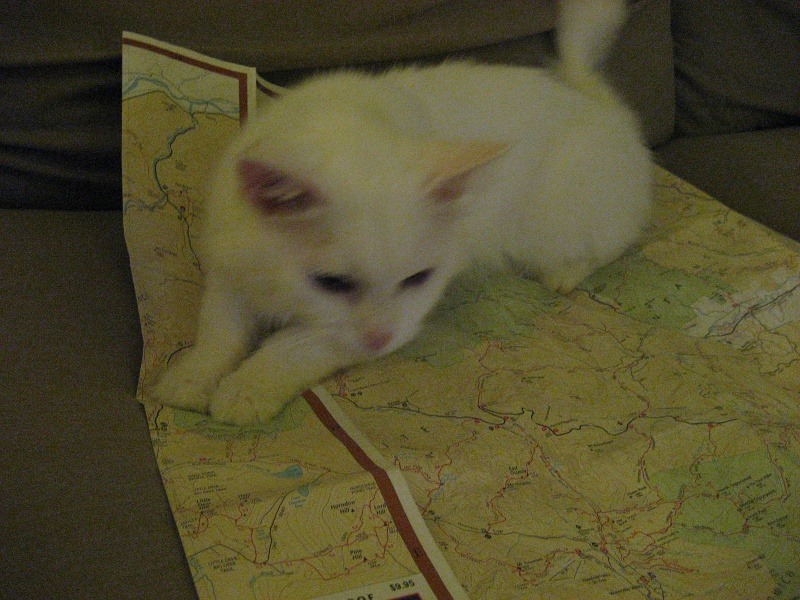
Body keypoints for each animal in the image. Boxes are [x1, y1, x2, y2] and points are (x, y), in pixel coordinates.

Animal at [151, 0, 652, 425]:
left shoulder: (395, 319)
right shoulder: (228, 265)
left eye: (417, 279)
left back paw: (565, 273)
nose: (381, 339)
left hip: (552, 226)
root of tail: (604, 107)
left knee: (615, 241)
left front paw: (247, 388)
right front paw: (191, 377)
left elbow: (293, 346)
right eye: (332, 283)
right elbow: (219, 332)